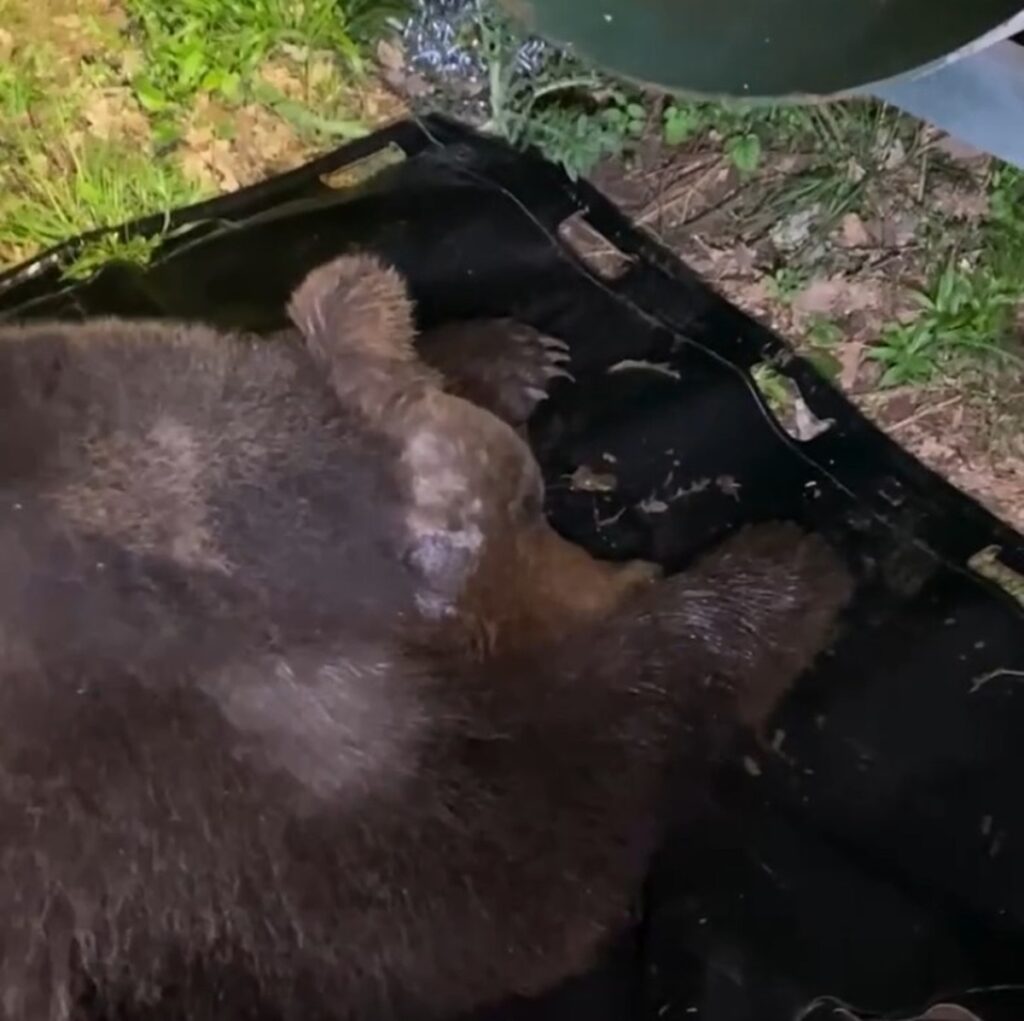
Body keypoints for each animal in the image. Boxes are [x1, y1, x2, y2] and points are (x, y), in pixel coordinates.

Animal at [0, 253, 852, 1021]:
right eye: (535, 507)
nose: (636, 572)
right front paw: (781, 577)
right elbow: (521, 877)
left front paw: (504, 352)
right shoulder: (213, 814)